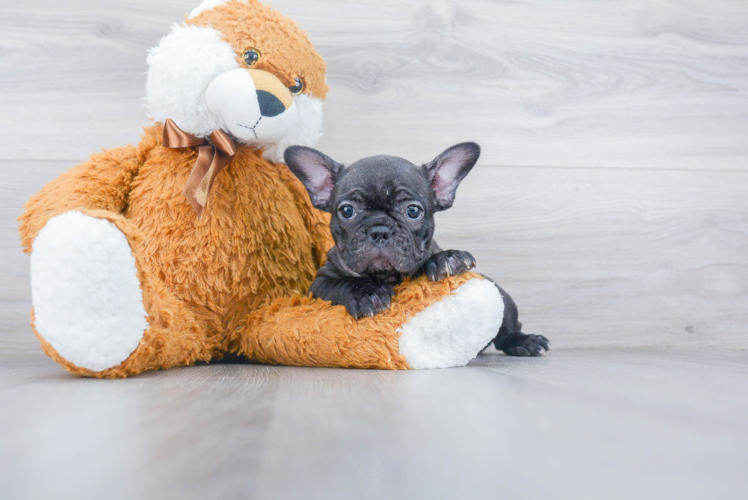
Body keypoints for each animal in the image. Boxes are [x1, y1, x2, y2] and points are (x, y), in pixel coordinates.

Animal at [284, 143, 552, 358]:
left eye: (413, 211)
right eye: (347, 211)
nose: (379, 230)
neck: (385, 276)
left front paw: (448, 258)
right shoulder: (319, 284)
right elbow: (342, 284)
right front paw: (366, 294)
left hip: (504, 299)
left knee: (506, 330)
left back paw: (525, 342)